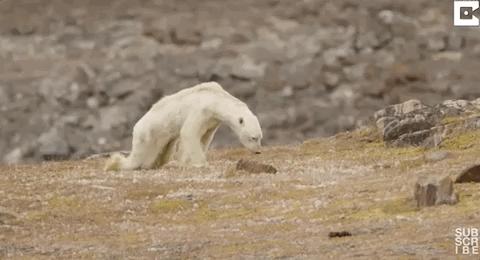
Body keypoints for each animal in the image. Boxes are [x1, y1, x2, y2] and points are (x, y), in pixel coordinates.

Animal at [104, 81, 262, 171]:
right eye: (253, 138)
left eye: (260, 137)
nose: (258, 151)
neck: (215, 98)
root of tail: (136, 128)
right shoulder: (201, 110)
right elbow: (189, 132)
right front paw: (201, 164)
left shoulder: (212, 121)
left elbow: (205, 138)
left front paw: (184, 161)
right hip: (149, 135)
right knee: (140, 158)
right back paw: (116, 164)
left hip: (163, 139)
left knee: (165, 150)